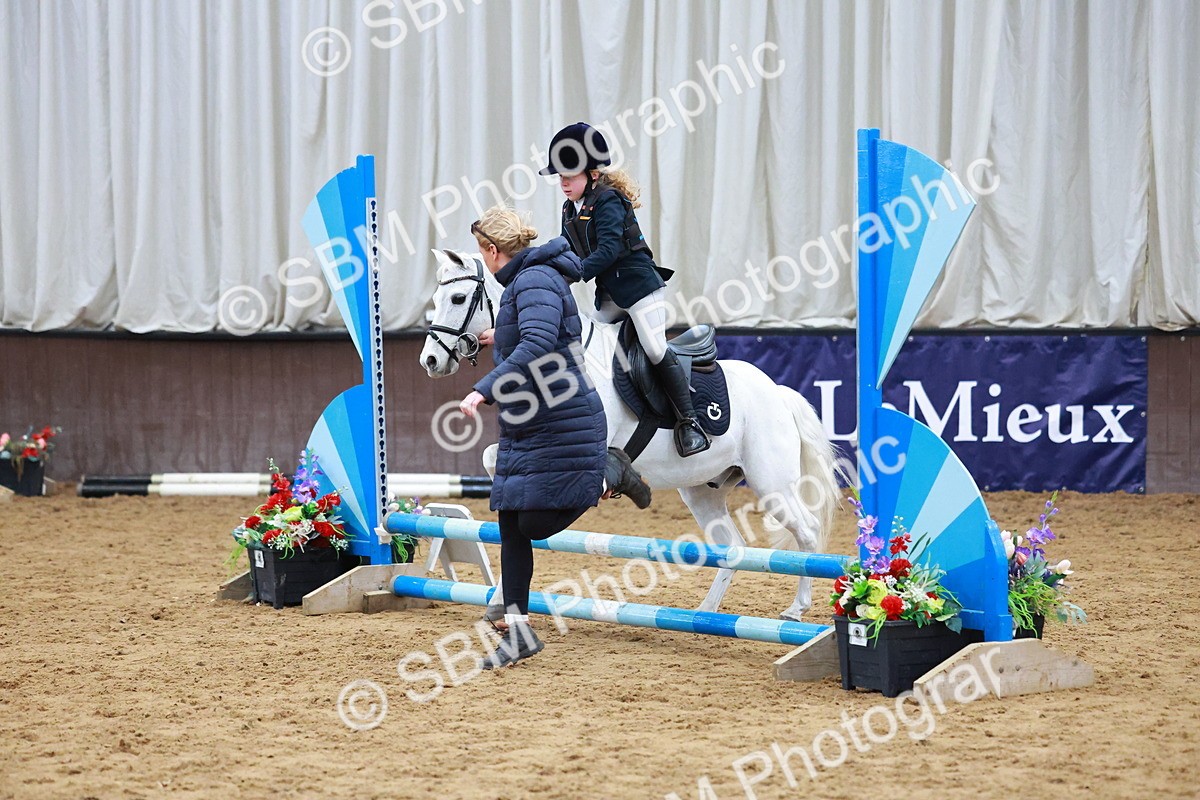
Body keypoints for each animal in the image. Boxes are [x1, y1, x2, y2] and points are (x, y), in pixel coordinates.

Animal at [418, 248, 843, 621]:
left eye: (458, 298)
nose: (430, 361)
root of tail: (778, 392)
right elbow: (494, 461)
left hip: (772, 483)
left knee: (806, 533)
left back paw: (796, 609)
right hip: (703, 490)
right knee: (733, 548)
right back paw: (705, 615)